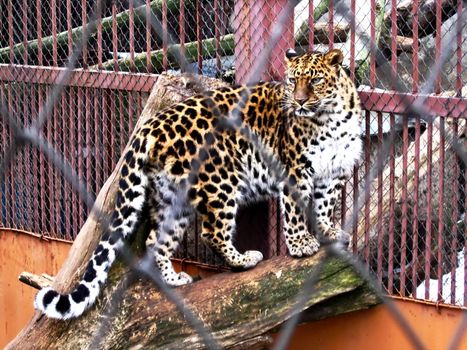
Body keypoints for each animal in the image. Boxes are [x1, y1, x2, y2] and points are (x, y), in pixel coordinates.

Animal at [35, 47, 362, 318]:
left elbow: (324, 206)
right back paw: (245, 260)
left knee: (156, 239)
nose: (300, 100)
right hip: (221, 181)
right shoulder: (295, 168)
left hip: (172, 197)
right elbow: (295, 211)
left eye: (315, 81)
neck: (330, 118)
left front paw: (329, 231)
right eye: (293, 81)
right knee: (212, 232)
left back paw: (174, 279)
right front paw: (301, 245)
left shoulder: (334, 172)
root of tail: (150, 127)